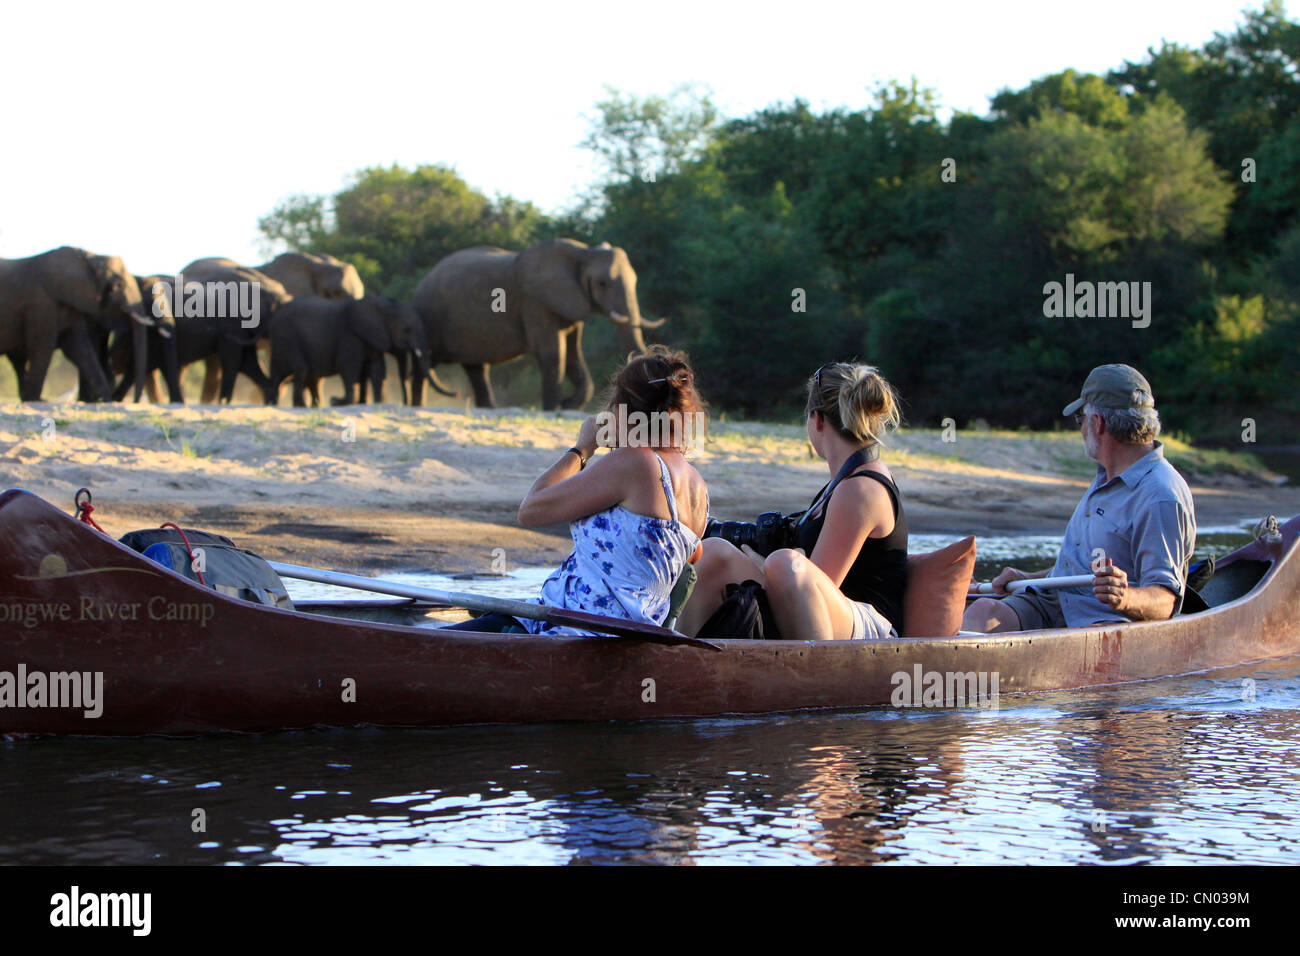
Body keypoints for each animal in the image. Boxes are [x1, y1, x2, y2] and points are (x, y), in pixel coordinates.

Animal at [0, 248, 161, 403]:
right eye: (119, 286)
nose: (135, 401)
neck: (89, 257)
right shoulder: (41, 304)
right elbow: (43, 347)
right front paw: (36, 400)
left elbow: (79, 348)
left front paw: (106, 400)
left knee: (19, 361)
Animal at [261, 295, 454, 408]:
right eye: (406, 330)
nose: (405, 404)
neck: (381, 305)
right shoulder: (350, 336)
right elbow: (349, 368)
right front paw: (337, 401)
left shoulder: (372, 338)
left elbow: (377, 371)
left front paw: (375, 403)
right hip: (287, 336)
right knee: (300, 369)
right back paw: (299, 406)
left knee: (278, 373)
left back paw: (273, 403)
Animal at [413, 238, 665, 408]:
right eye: (602, 283)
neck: (582, 253)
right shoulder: (535, 302)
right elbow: (552, 352)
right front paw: (554, 407)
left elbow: (573, 355)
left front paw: (567, 404)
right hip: (431, 318)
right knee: (425, 362)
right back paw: (417, 405)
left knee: (476, 368)